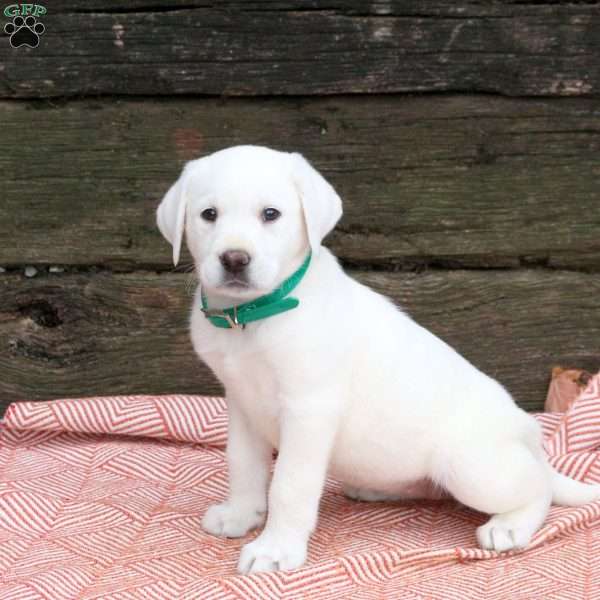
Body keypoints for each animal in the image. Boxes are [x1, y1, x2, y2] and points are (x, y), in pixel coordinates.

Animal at [156, 143, 600, 576]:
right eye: (209, 215)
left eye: (271, 214)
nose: (234, 259)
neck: (254, 316)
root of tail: (527, 432)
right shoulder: (242, 404)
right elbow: (243, 466)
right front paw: (241, 515)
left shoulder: (308, 409)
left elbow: (289, 484)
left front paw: (276, 549)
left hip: (470, 466)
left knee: (538, 488)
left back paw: (509, 527)